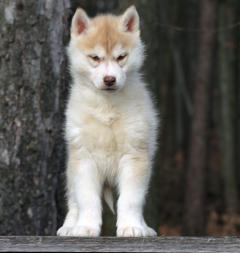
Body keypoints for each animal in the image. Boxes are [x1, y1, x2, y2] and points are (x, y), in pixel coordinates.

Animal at [57, 4, 158, 236]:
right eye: (95, 57)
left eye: (121, 57)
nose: (109, 79)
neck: (107, 108)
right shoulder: (84, 158)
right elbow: (86, 199)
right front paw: (85, 227)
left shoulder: (135, 157)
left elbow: (131, 200)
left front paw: (132, 226)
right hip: (70, 168)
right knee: (73, 201)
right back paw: (69, 226)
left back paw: (145, 227)